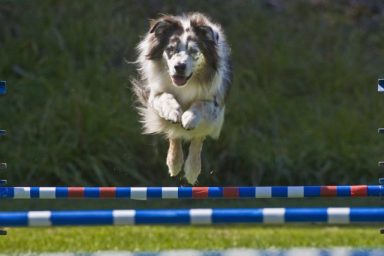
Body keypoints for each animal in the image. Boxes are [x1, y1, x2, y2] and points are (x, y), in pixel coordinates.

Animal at [133, 13, 231, 184]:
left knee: (198, 137)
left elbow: (200, 105)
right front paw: (173, 111)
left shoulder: (215, 102)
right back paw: (175, 163)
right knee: (175, 133)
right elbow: (165, 97)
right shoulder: (155, 94)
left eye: (194, 51)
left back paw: (192, 170)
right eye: (171, 49)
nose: (179, 67)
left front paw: (189, 117)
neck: (185, 85)